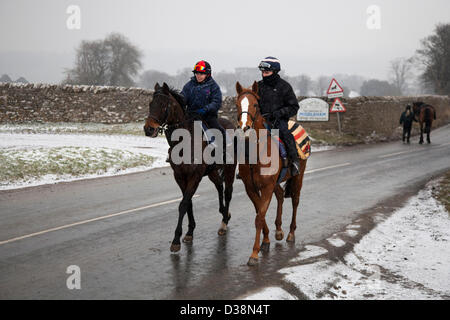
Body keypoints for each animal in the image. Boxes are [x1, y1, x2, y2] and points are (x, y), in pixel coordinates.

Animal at [144, 82, 237, 252]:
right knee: (219, 187)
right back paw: (224, 213)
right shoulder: (180, 176)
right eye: (150, 104)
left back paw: (224, 223)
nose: (149, 129)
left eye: (163, 105)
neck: (184, 141)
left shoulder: (195, 176)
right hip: (213, 171)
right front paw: (189, 232)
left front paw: (176, 240)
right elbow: (188, 203)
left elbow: (183, 204)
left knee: (227, 192)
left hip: (230, 169)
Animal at [234, 81, 308, 266]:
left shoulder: (266, 187)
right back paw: (279, 230)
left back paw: (290, 233)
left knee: (295, 200)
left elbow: (259, 217)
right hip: (276, 183)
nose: (244, 128)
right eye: (237, 105)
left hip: (298, 177)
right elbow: (259, 213)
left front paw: (254, 254)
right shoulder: (251, 188)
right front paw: (266, 241)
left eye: (255, 104)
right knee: (281, 195)